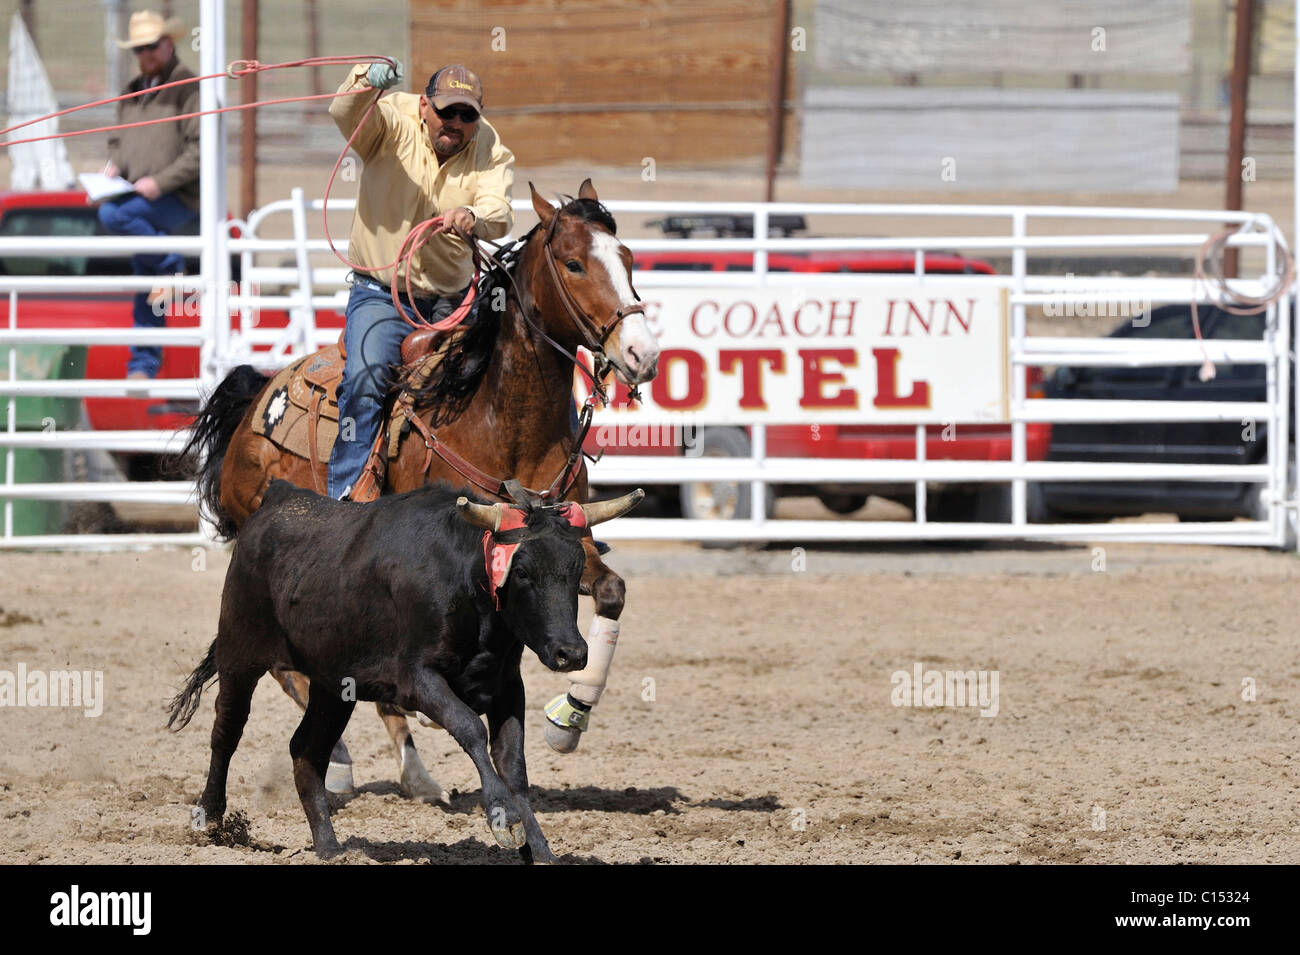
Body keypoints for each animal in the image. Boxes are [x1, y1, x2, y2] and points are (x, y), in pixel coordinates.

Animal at [167, 479, 643, 863]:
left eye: (576, 572)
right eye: (523, 571)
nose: (571, 653)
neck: (467, 582)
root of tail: (277, 500)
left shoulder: (509, 687)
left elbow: (513, 762)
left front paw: (538, 847)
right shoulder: (417, 680)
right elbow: (470, 728)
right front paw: (502, 816)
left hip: (333, 687)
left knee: (307, 750)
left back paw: (330, 848)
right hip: (239, 654)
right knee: (226, 733)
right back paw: (209, 817)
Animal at [181, 180, 660, 800]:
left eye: (627, 259)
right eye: (575, 263)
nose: (642, 355)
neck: (502, 424)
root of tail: (260, 394)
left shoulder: (570, 538)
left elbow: (611, 592)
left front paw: (569, 720)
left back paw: (411, 769)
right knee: (295, 667)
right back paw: (354, 763)